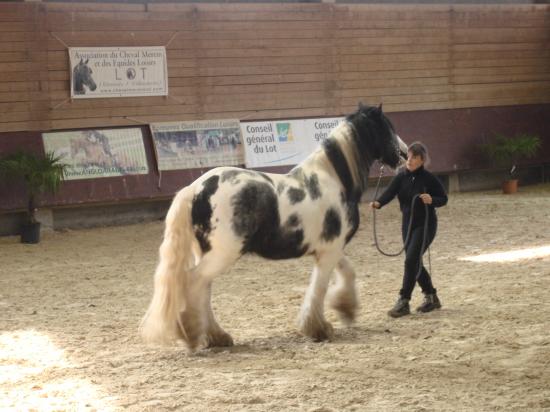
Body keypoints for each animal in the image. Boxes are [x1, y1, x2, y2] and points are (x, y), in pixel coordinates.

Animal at [141, 104, 410, 350]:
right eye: (386, 128)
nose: (405, 155)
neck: (333, 180)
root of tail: (196, 188)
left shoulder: (330, 248)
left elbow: (347, 273)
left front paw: (346, 309)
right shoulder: (330, 250)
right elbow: (319, 287)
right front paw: (318, 328)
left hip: (206, 252)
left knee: (202, 289)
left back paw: (217, 336)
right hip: (222, 254)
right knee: (193, 283)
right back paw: (191, 333)